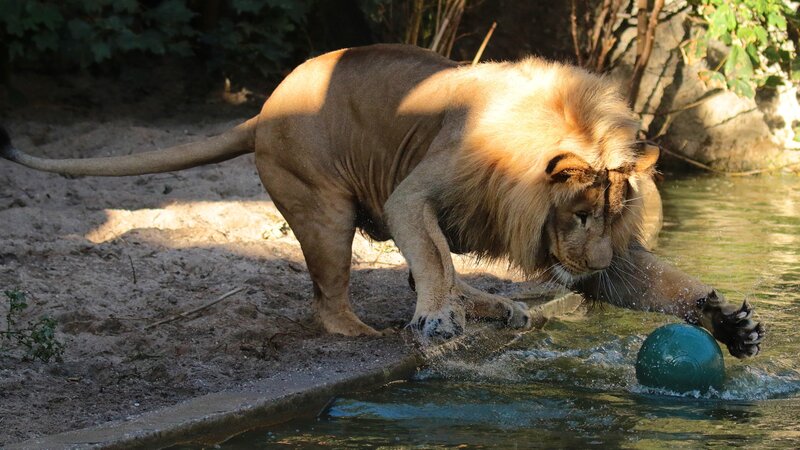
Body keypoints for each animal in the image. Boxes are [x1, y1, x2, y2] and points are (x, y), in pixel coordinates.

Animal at [0, 44, 762, 358]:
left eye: (612, 216)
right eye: (577, 214)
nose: (593, 259)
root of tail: (262, 111)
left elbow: (657, 284)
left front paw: (729, 324)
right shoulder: (413, 192)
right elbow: (436, 259)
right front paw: (437, 321)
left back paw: (500, 308)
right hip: (327, 212)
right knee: (332, 304)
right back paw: (376, 333)